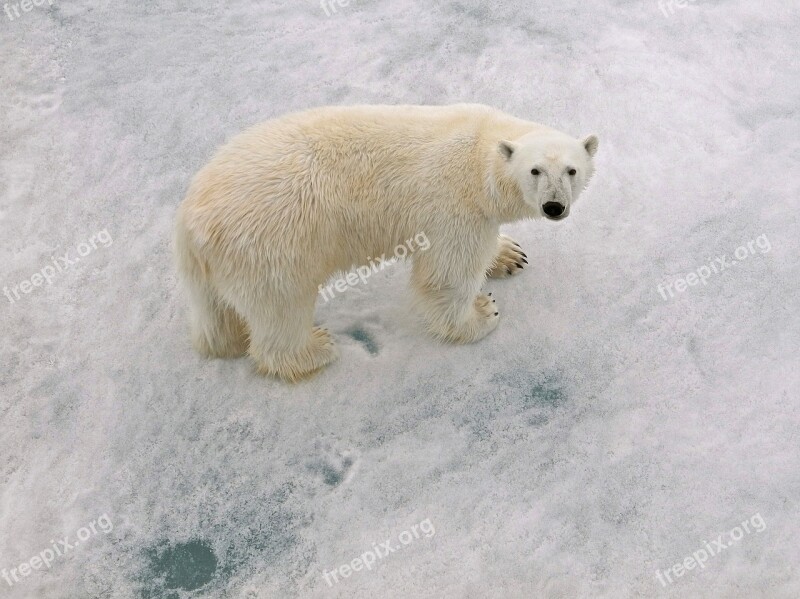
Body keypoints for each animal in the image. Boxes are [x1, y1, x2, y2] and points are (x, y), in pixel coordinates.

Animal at [175, 105, 600, 382]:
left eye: (572, 170)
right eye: (535, 171)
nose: (554, 206)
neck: (479, 151)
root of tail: (191, 222)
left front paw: (510, 255)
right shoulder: (454, 208)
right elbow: (447, 275)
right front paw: (482, 313)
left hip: (219, 262)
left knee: (216, 313)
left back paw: (227, 342)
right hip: (273, 245)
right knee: (282, 307)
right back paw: (316, 348)